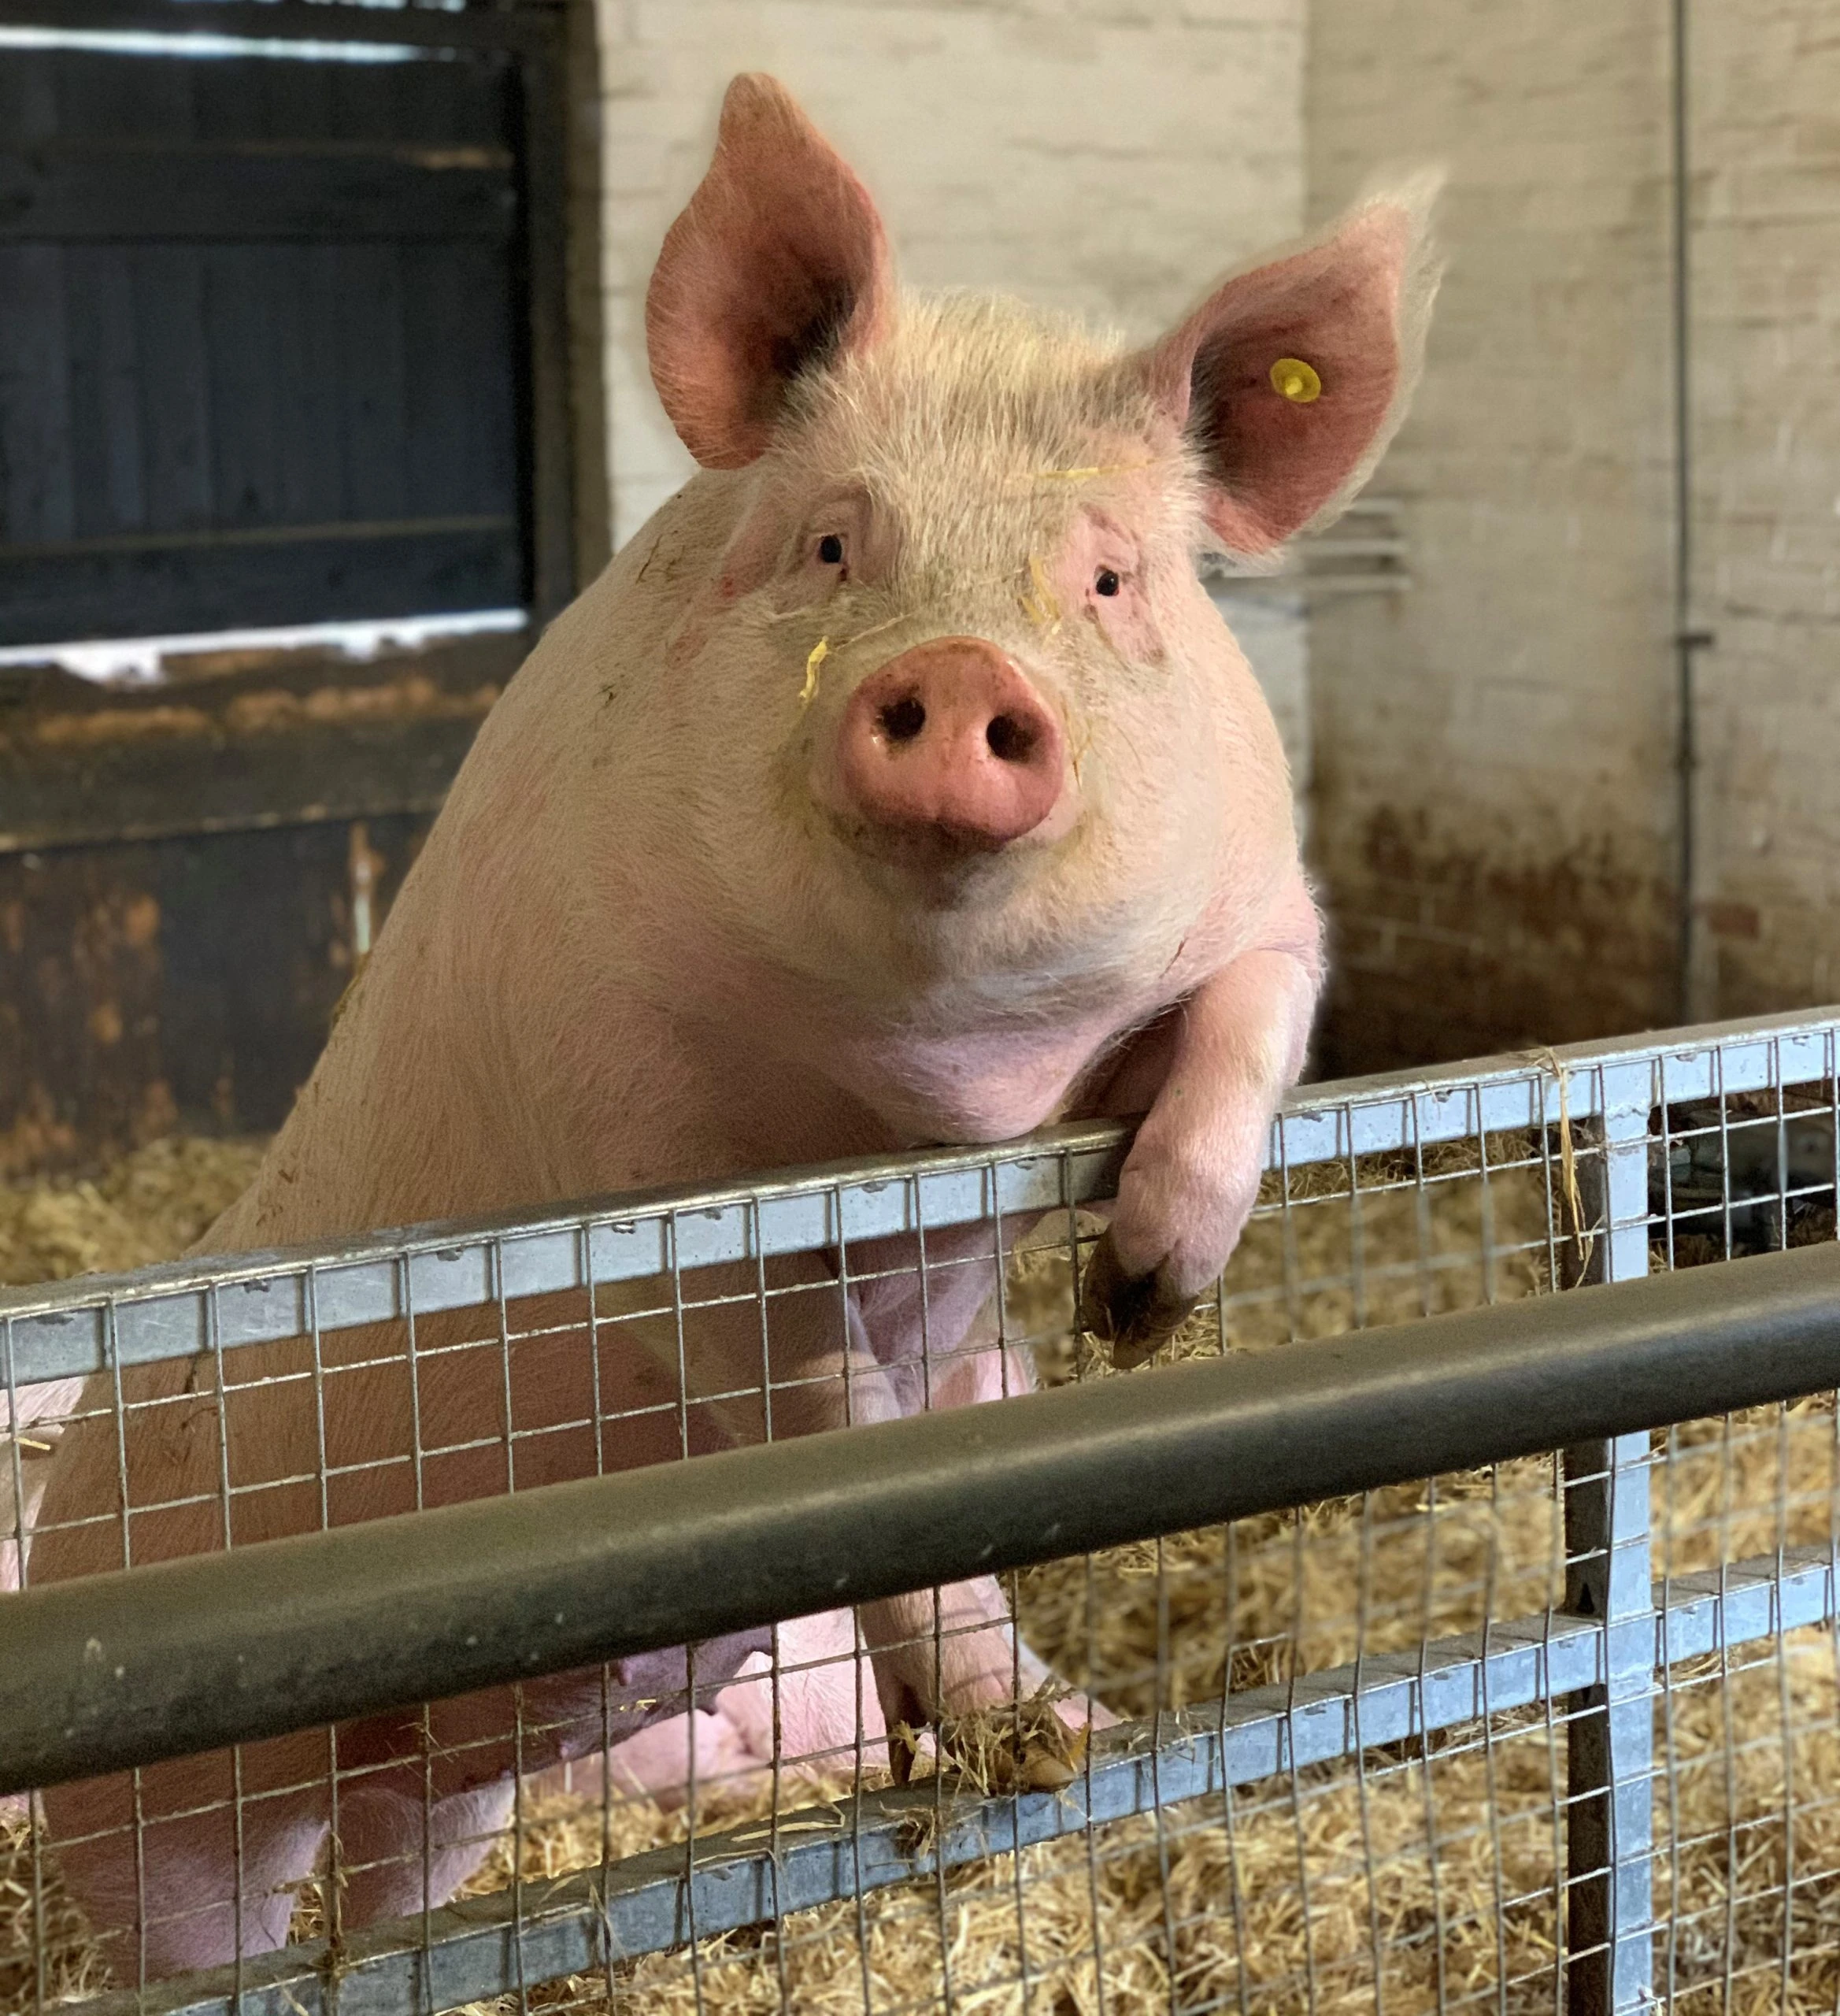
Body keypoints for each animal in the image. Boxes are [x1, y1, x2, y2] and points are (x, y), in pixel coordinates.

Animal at [28, 74, 1437, 1979]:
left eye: (1108, 581)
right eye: (834, 541)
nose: (958, 675)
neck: (936, 1090)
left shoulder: (1262, 908)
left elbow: (1244, 1032)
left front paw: (1138, 1302)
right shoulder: (617, 1140)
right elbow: (832, 1409)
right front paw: (1029, 1696)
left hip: (445, 1796)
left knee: (399, 1865)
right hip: (161, 1790)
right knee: (195, 1919)